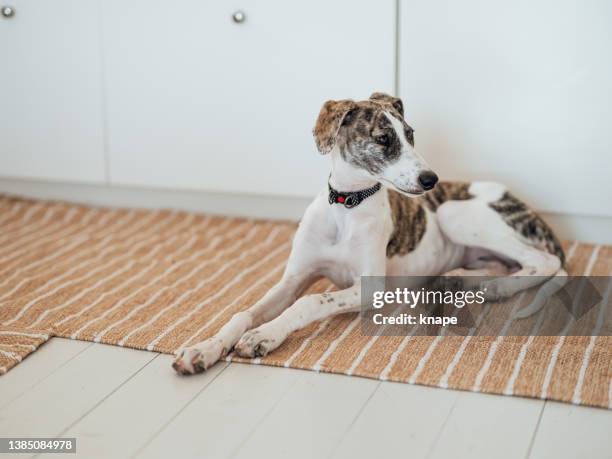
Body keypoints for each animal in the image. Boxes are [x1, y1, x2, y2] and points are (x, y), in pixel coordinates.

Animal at [172, 92, 564, 374]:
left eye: (411, 135)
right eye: (384, 138)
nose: (431, 180)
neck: (346, 204)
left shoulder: (370, 287)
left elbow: (311, 301)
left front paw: (264, 336)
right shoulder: (294, 278)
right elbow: (244, 313)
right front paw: (203, 349)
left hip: (453, 212)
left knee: (545, 262)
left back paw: (495, 288)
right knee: (507, 264)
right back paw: (463, 280)